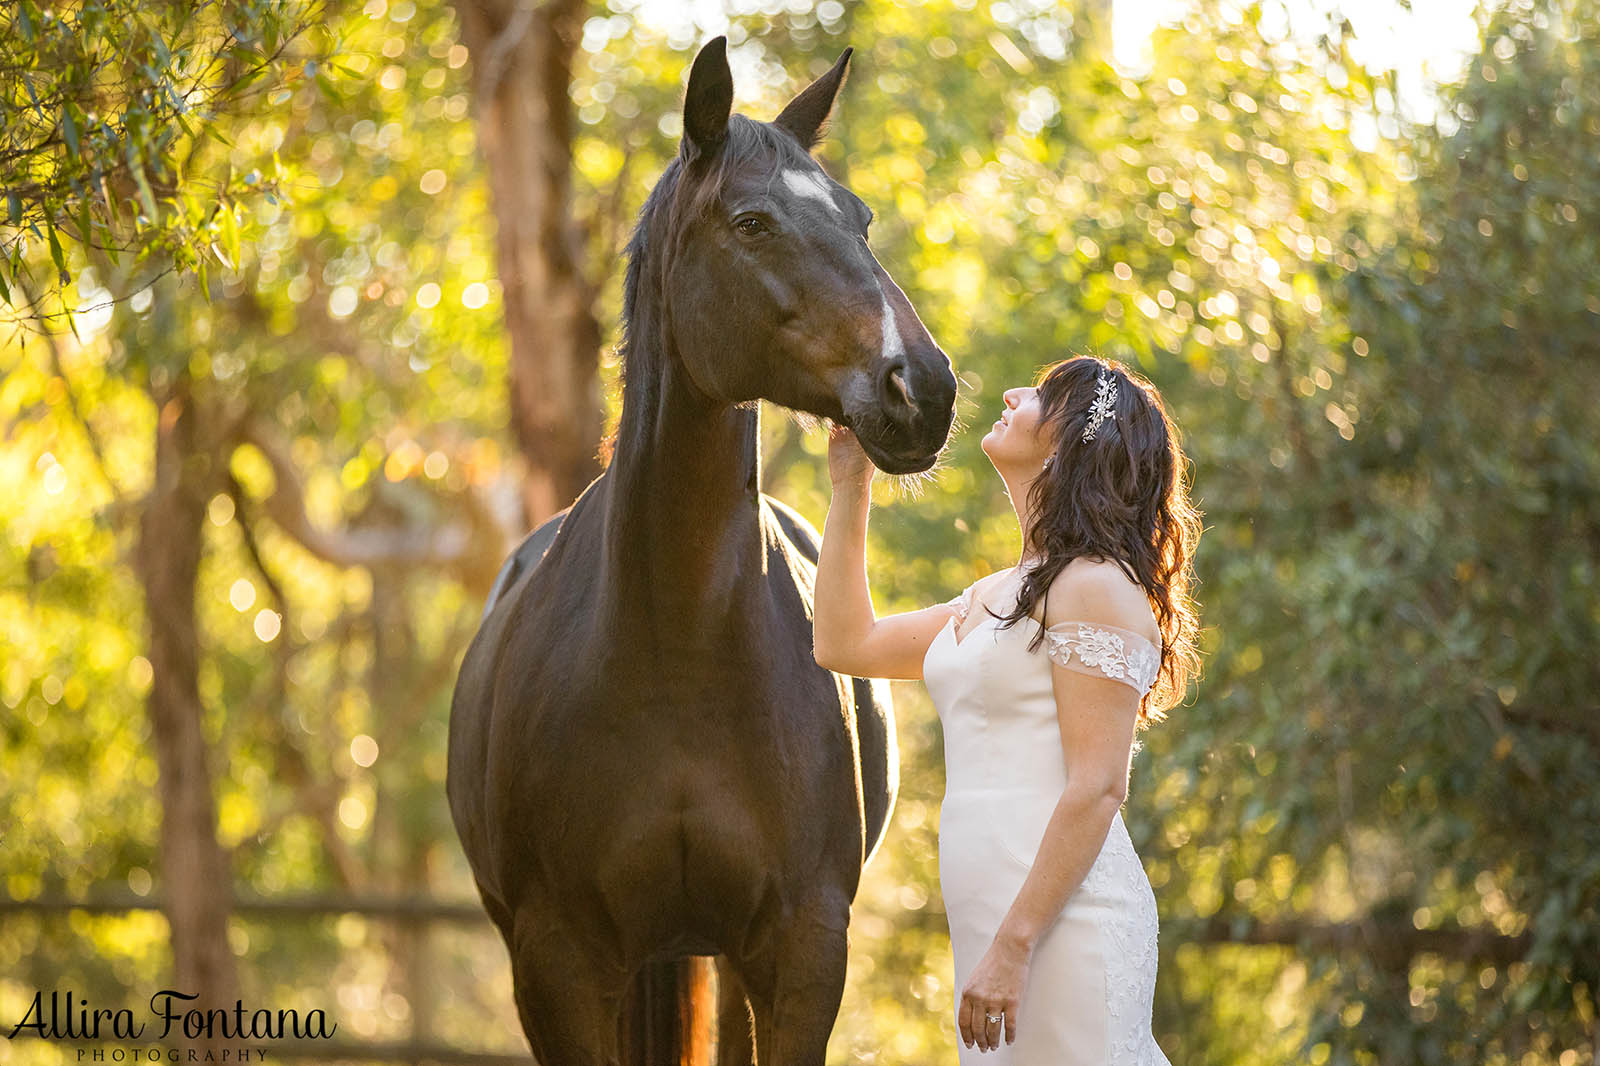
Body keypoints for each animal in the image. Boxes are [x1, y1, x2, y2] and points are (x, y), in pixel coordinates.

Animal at [444, 35, 953, 1062]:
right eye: (752, 224)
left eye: (861, 219)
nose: (923, 387)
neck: (675, 650)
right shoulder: (556, 964)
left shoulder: (800, 951)